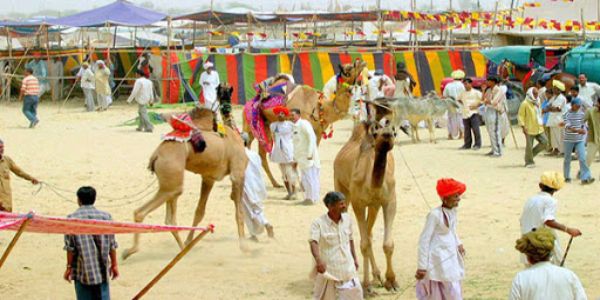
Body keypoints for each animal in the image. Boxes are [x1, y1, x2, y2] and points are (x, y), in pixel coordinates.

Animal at [122, 108, 248, 260]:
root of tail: (156, 155)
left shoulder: (208, 178)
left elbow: (199, 211)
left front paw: (190, 240)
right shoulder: (238, 174)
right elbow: (239, 212)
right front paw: (244, 247)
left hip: (170, 183)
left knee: (169, 219)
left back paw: (183, 249)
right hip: (172, 182)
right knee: (142, 212)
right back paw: (132, 251)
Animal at [332, 120, 398, 294]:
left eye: (394, 132)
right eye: (376, 133)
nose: (387, 133)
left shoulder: (389, 201)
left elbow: (387, 244)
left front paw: (391, 281)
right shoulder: (358, 203)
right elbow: (364, 244)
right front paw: (367, 286)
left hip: (374, 206)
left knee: (369, 233)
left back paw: (377, 276)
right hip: (341, 187)